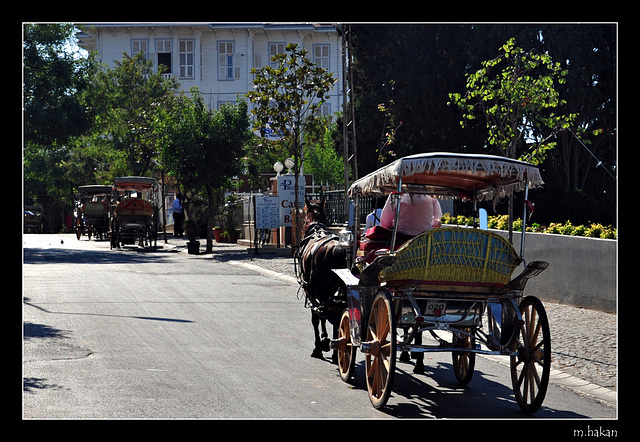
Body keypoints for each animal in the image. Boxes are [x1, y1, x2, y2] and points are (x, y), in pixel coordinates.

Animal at [296, 197, 348, 360]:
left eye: (303, 212)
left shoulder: (311, 289)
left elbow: (316, 317)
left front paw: (319, 345)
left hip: (321, 289)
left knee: (324, 312)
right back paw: (338, 349)